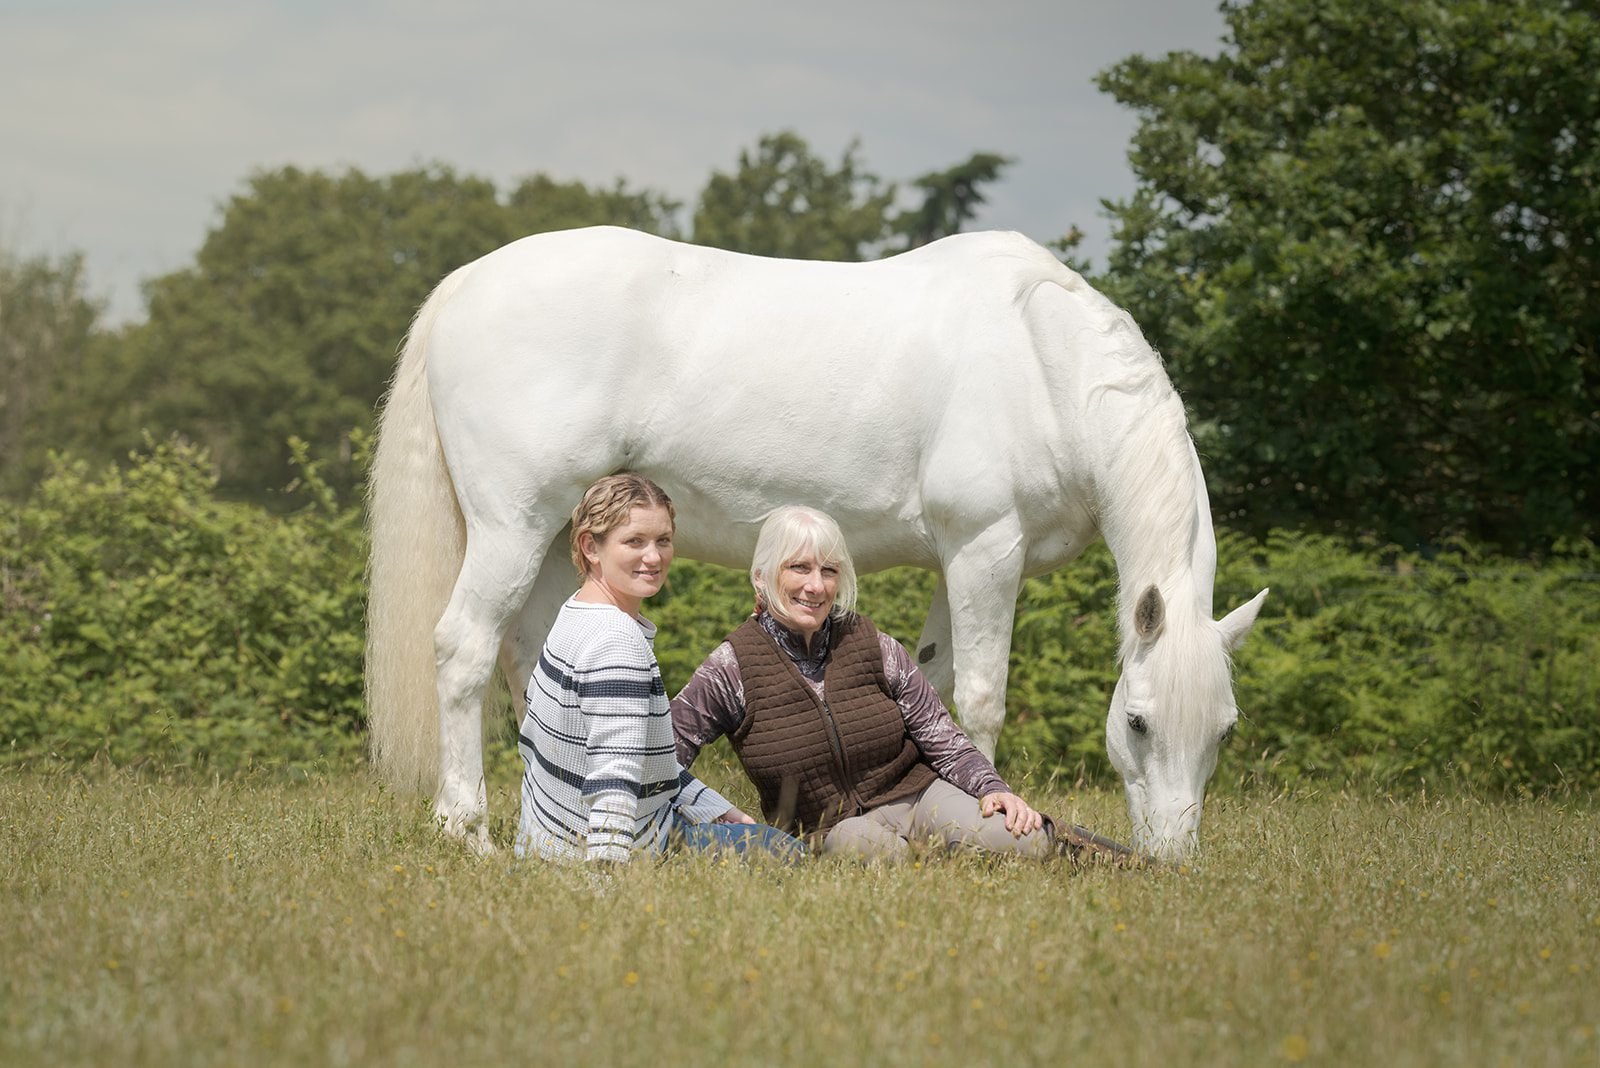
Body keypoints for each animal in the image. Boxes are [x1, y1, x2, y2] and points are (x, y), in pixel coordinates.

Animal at [365, 225, 1268, 861]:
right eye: (1138, 724)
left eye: (1224, 731)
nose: (1172, 858)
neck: (1045, 360)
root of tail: (465, 283)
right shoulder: (985, 550)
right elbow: (981, 695)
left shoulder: (958, 563)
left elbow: (933, 681)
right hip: (512, 526)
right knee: (463, 648)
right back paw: (465, 827)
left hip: (558, 537)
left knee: (536, 657)